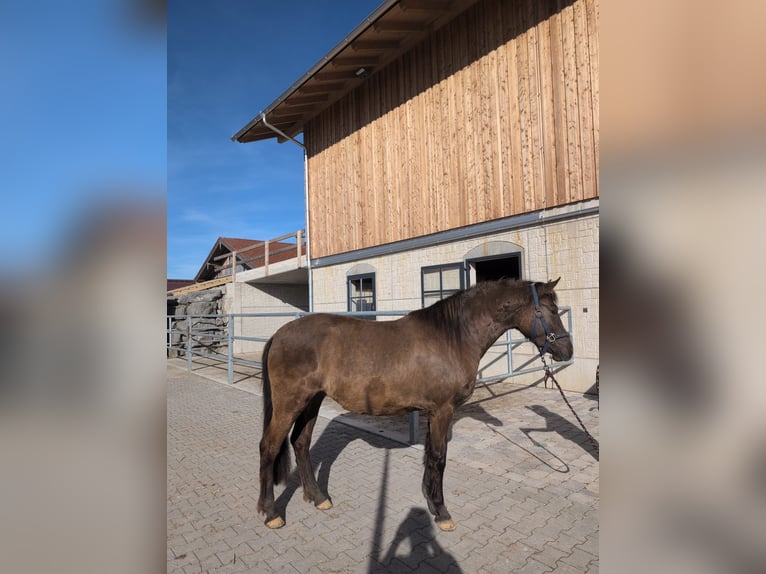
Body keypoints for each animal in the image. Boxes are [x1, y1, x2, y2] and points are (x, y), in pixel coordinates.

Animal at [257, 277, 573, 531]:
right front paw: (442, 512)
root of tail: (279, 334)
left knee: (300, 442)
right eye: (552, 310)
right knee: (269, 447)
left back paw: (318, 497)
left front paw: (431, 502)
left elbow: (430, 455)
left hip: (312, 400)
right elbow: (439, 457)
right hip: (290, 402)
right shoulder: (443, 410)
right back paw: (270, 512)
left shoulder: (433, 412)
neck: (453, 337)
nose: (567, 350)